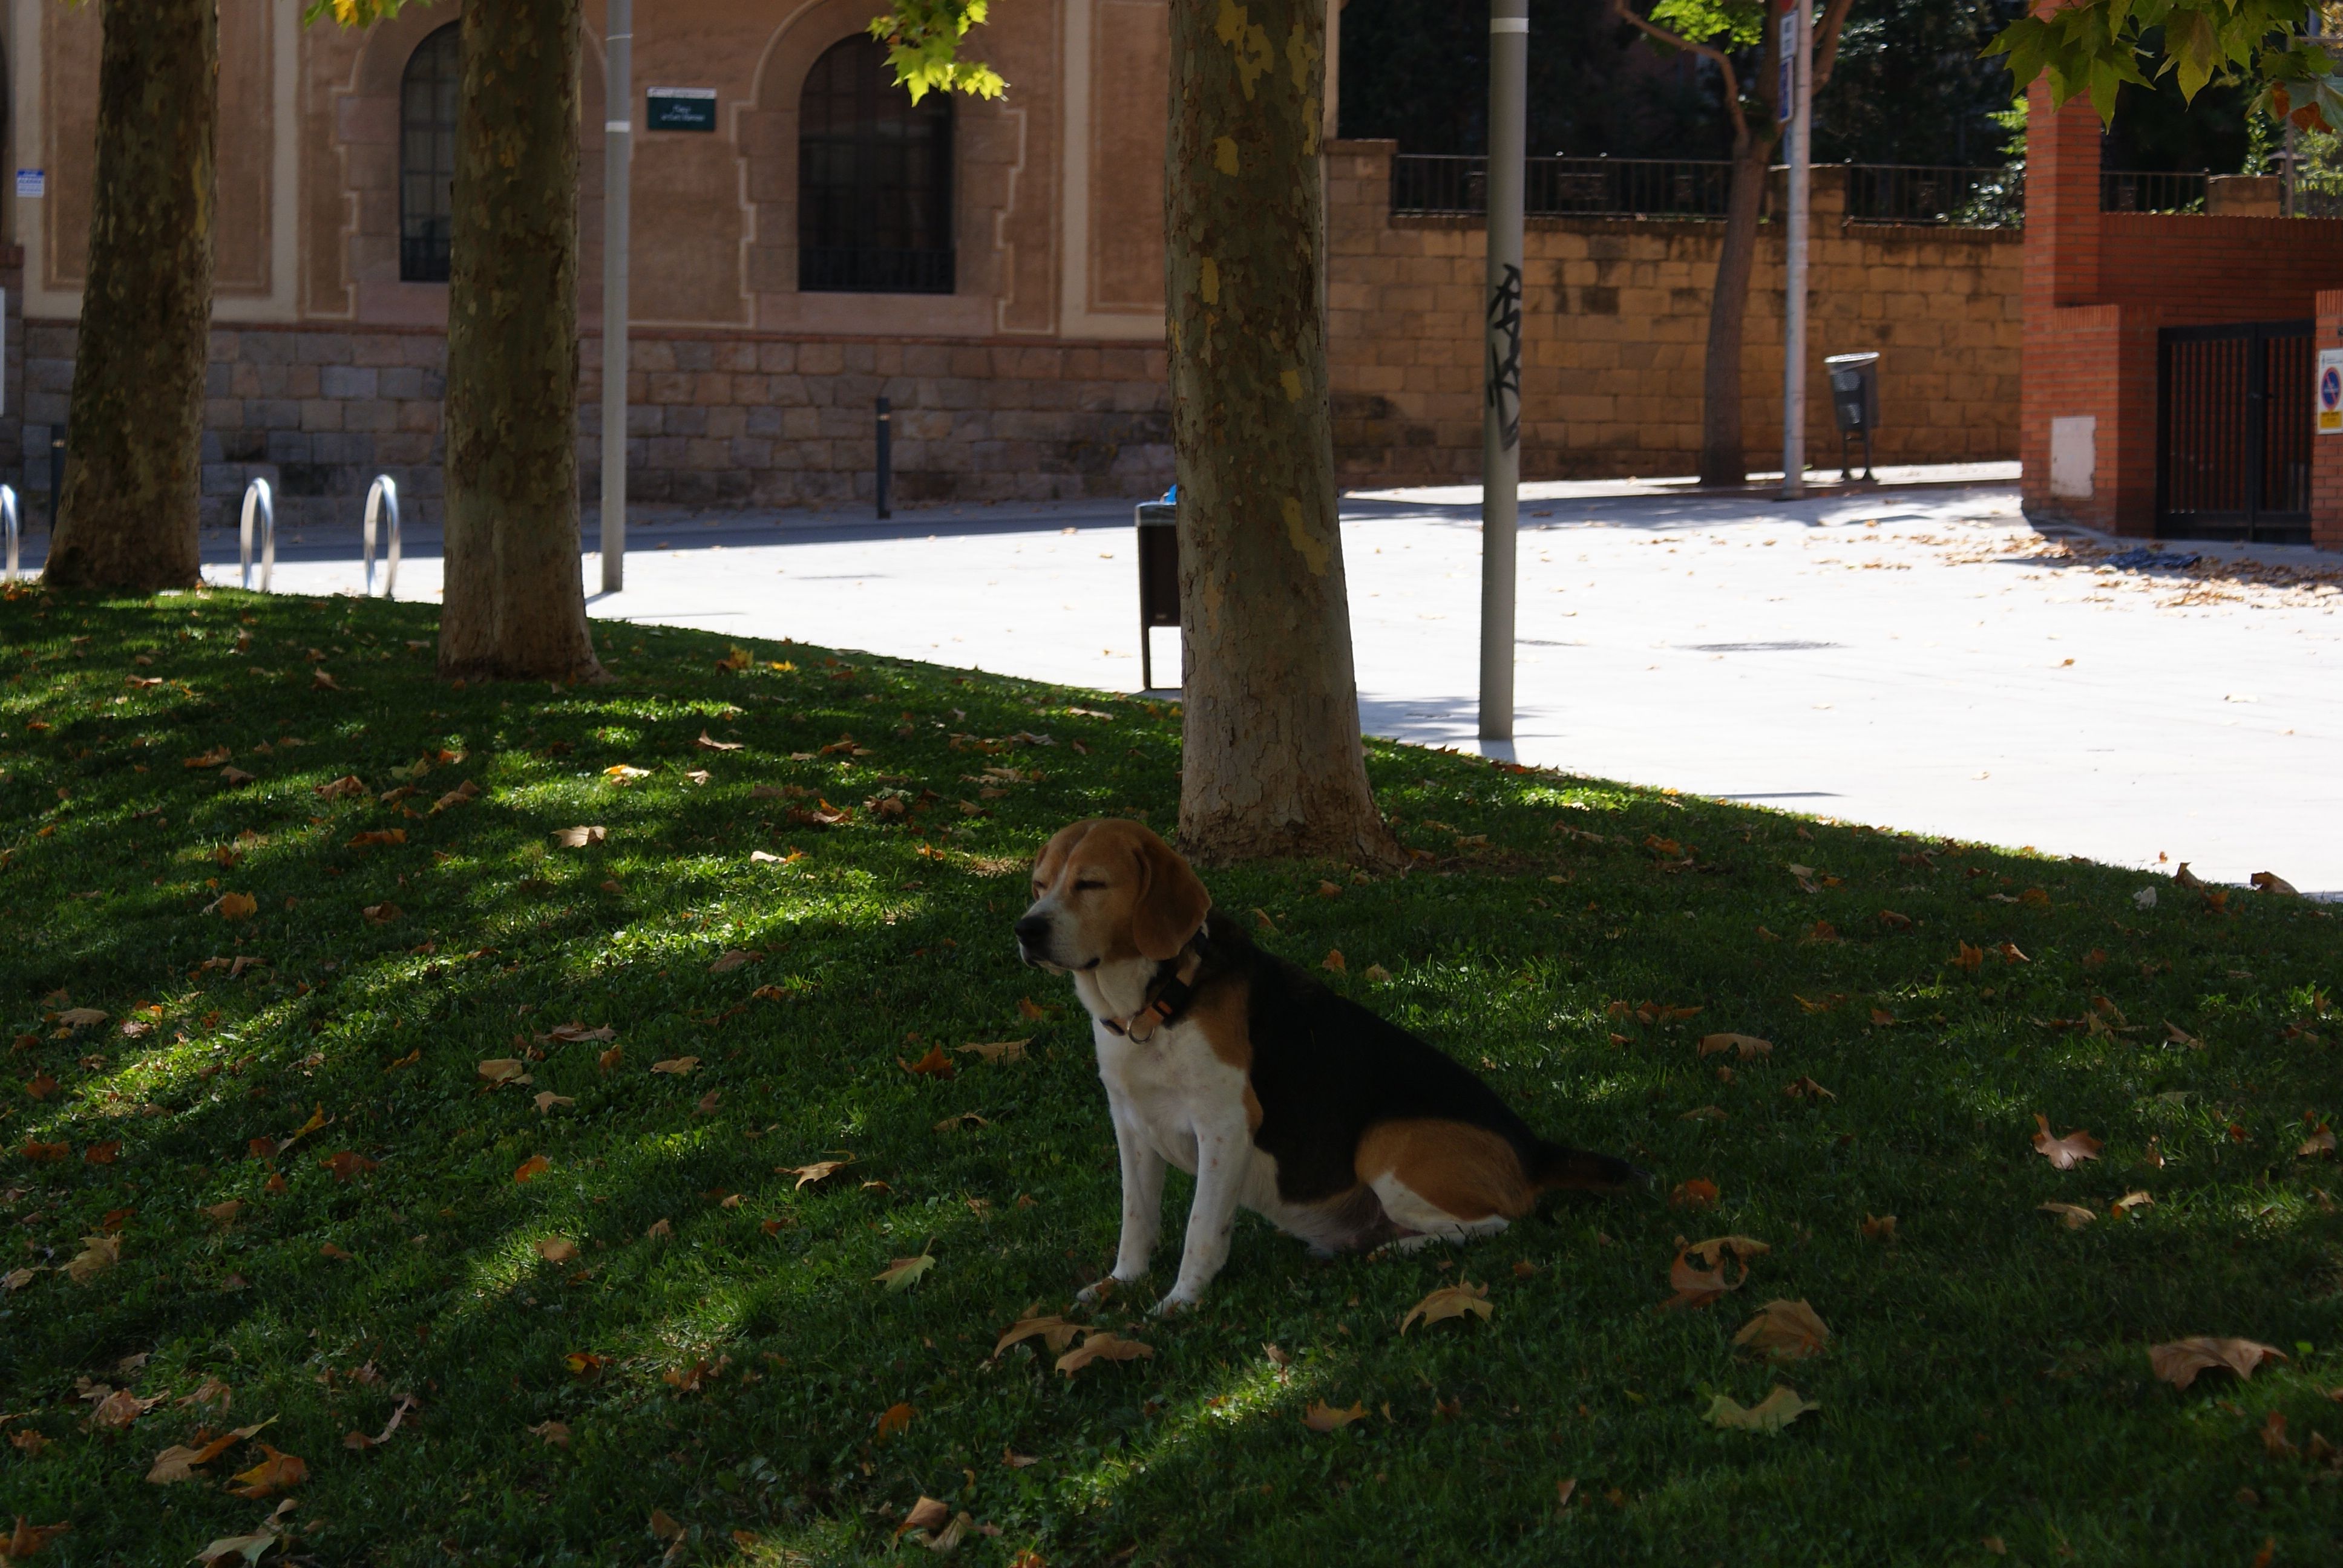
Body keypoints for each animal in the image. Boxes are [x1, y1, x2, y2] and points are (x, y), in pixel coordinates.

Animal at [1017, 815, 1640, 1312]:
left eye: (1092, 883)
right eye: (1040, 885)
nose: (1026, 928)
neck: (1156, 1003)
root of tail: (1534, 1152)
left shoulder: (1224, 1127)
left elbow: (1200, 1229)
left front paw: (1179, 1303)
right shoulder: (1133, 1127)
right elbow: (1137, 1221)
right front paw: (1121, 1284)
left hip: (1386, 1146)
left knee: (1493, 1225)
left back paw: (1397, 1247)